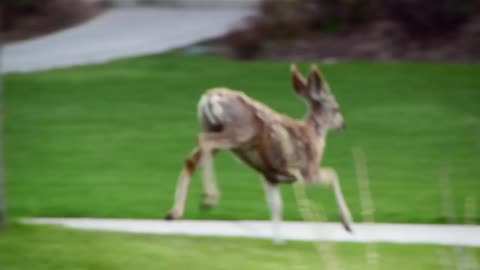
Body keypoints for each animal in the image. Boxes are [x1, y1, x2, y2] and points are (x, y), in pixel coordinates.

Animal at [165, 65, 352, 243]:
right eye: (337, 108)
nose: (343, 125)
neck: (314, 136)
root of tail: (209, 97)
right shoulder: (306, 171)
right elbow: (333, 174)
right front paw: (348, 224)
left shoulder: (270, 176)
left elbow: (276, 206)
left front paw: (278, 242)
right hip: (239, 131)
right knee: (204, 141)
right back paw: (209, 198)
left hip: (212, 127)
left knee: (191, 158)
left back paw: (174, 212)